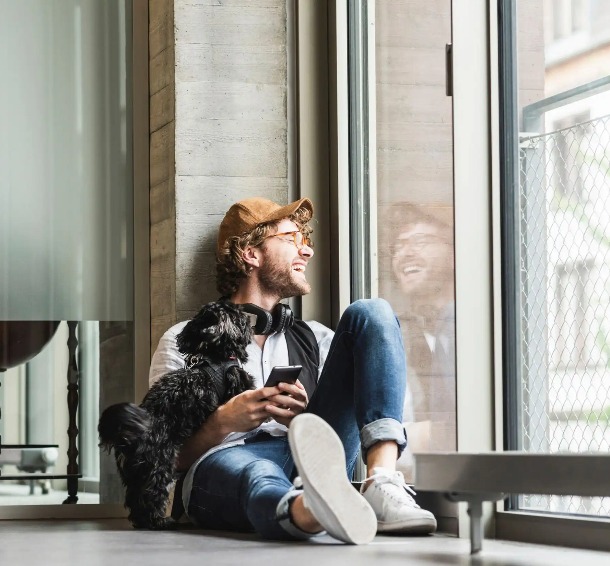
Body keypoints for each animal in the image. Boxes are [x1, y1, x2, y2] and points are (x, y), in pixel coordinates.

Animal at [98, 304, 254, 532]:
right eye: (238, 316)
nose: (249, 320)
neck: (211, 355)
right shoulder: (238, 383)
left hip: (135, 472)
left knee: (134, 500)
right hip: (159, 465)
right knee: (150, 496)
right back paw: (160, 522)